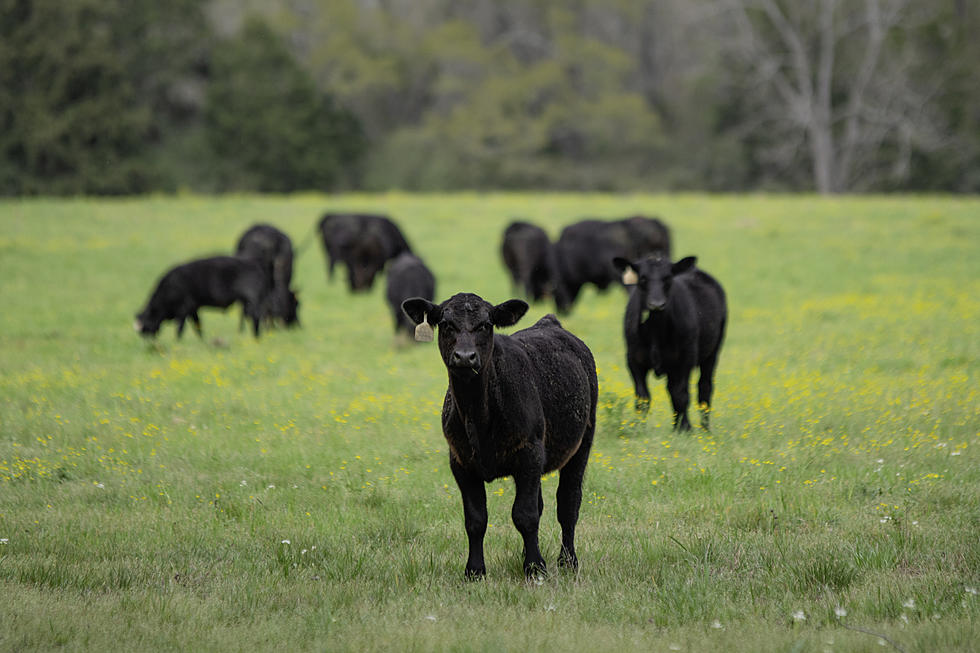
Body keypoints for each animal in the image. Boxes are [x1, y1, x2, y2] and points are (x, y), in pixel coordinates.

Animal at [134, 255, 270, 338]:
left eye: (145, 323)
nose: (147, 340)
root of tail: (255, 265)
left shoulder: (183, 310)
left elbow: (180, 328)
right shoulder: (193, 309)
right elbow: (198, 326)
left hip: (251, 300)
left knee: (255, 317)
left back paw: (256, 337)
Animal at [398, 292, 596, 580]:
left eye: (485, 325)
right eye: (446, 324)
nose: (465, 357)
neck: (479, 416)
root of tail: (549, 323)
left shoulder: (530, 452)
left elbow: (525, 514)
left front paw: (535, 569)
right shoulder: (460, 462)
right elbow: (476, 519)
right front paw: (475, 570)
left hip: (582, 444)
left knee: (568, 504)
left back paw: (567, 561)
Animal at [612, 256, 728, 432]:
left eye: (667, 278)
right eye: (643, 278)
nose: (656, 304)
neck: (656, 330)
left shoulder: (685, 359)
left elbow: (681, 395)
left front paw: (685, 428)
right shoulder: (633, 359)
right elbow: (642, 397)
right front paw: (638, 429)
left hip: (712, 353)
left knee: (704, 389)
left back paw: (705, 428)